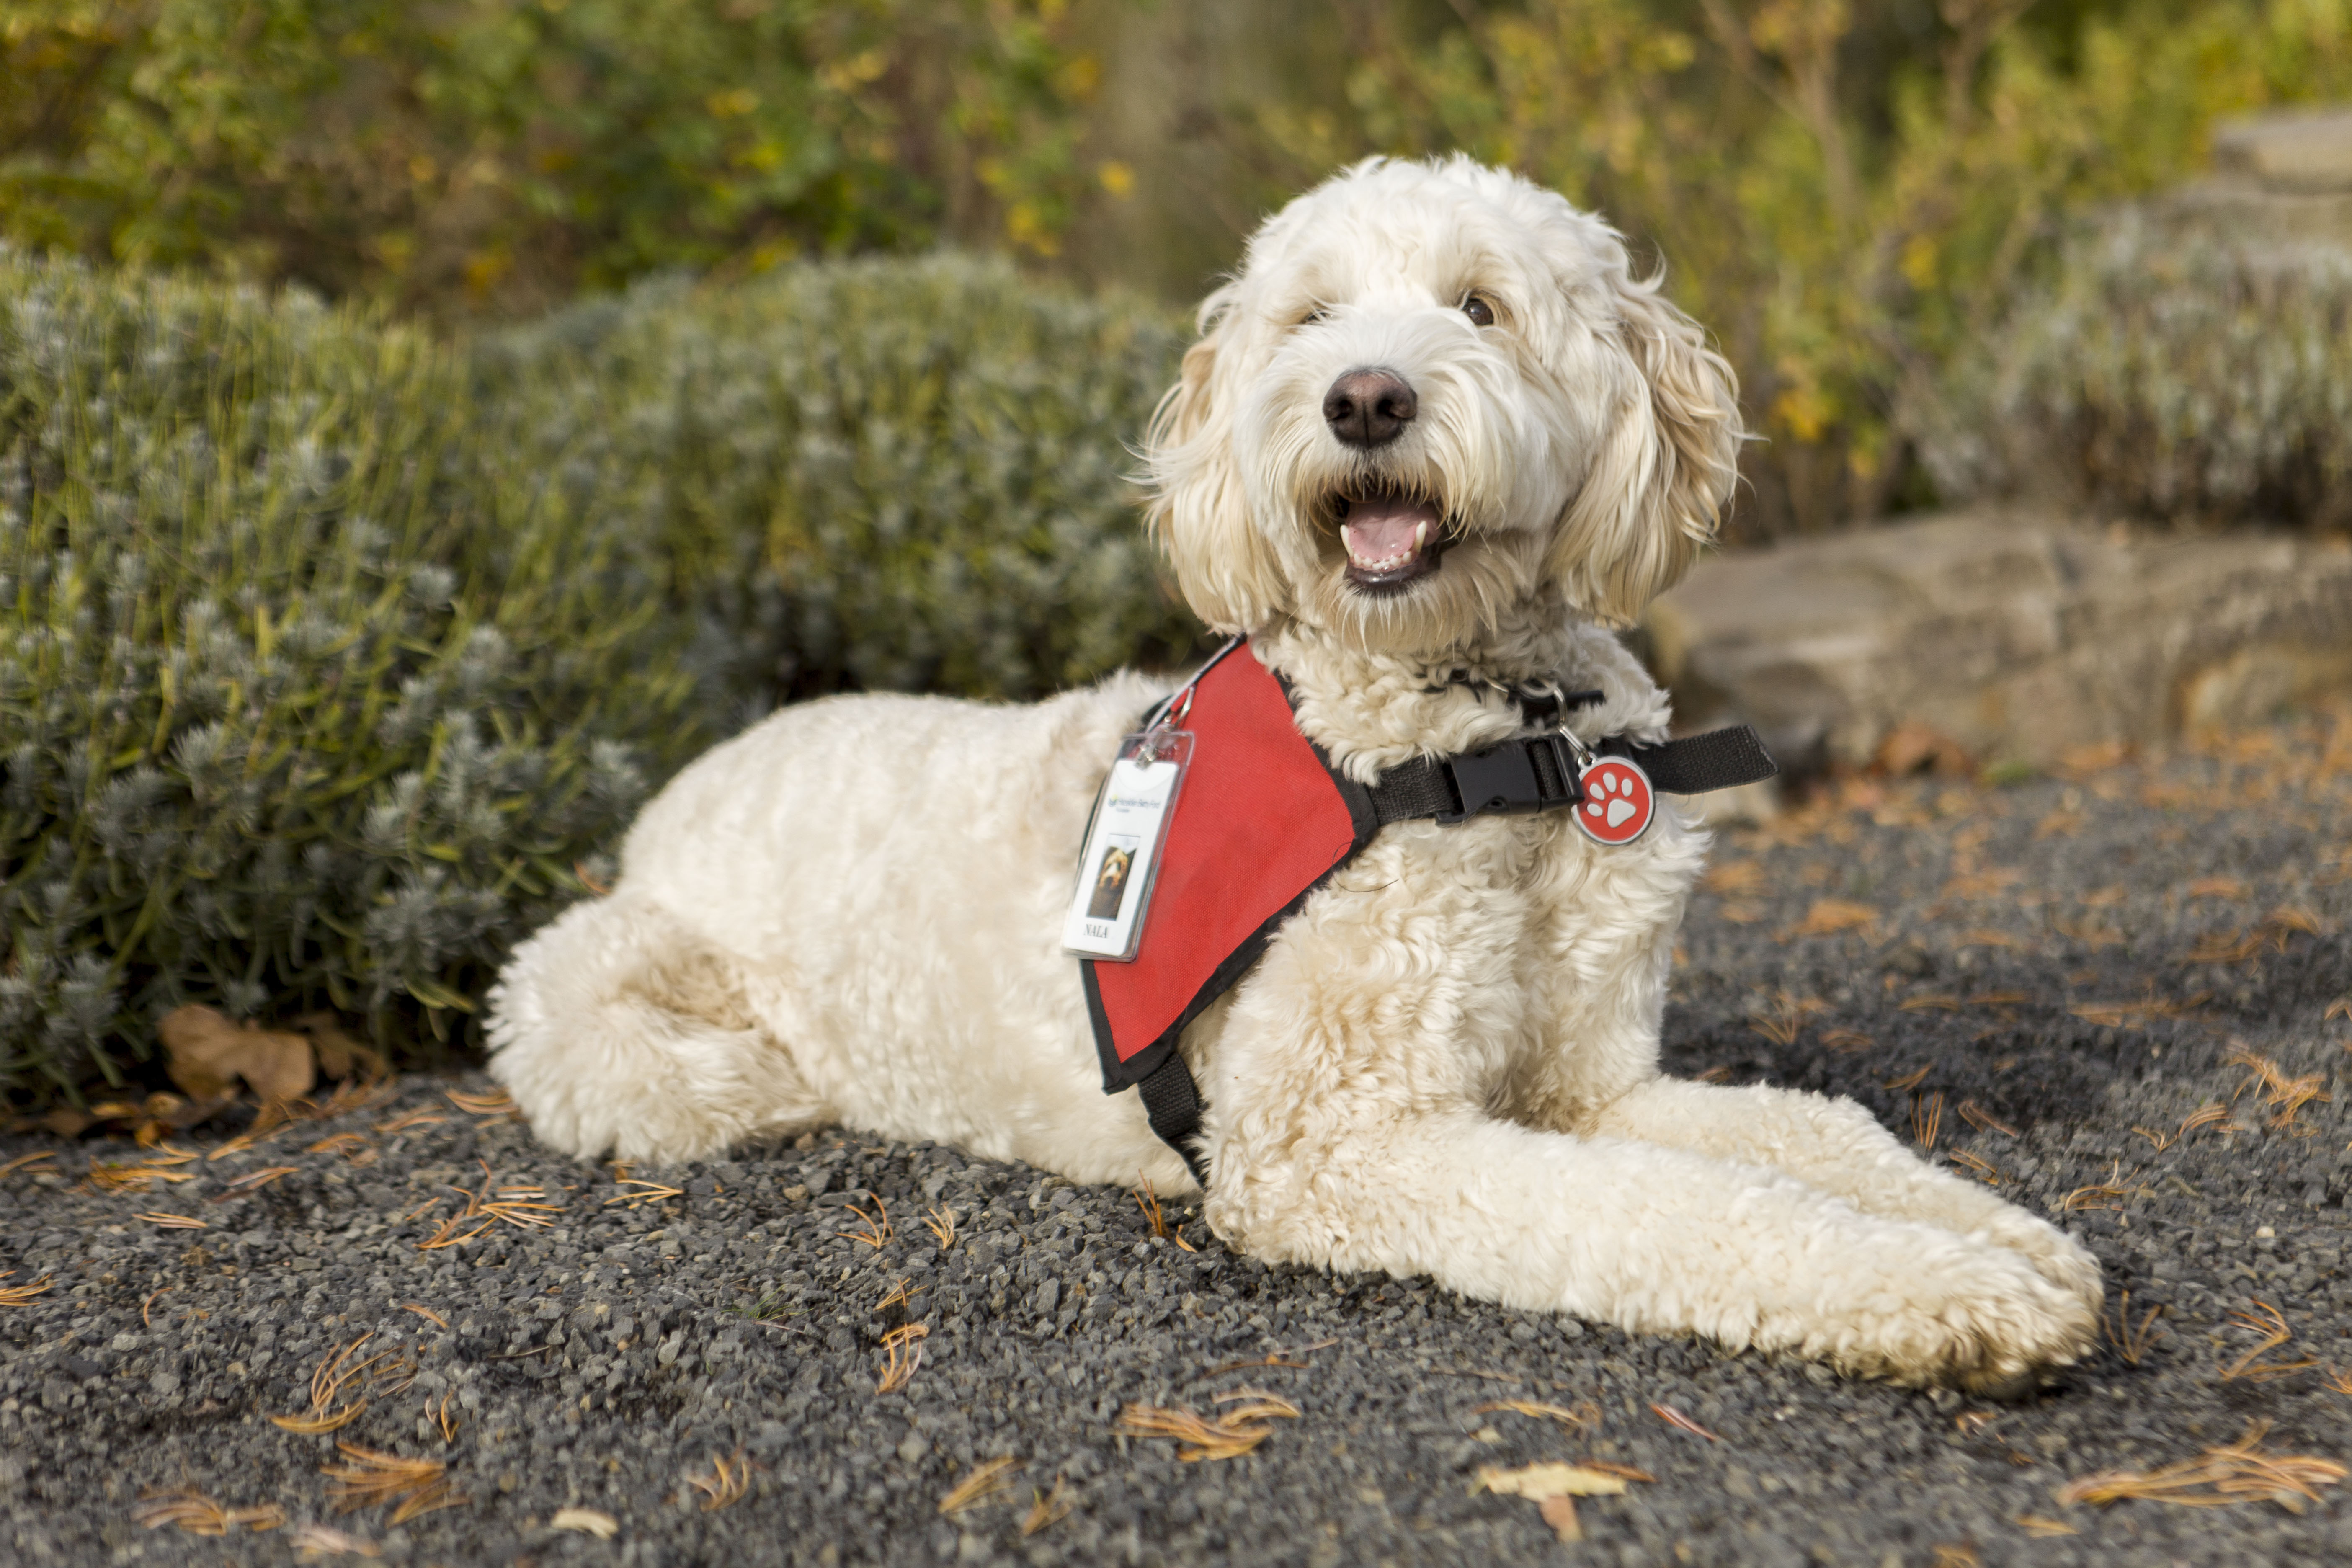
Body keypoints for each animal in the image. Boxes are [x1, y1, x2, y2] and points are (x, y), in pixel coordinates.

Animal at [487, 152, 2107, 1392]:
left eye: (1480, 304)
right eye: (1312, 315)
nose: (1366, 400)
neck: (1483, 746)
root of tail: (675, 795)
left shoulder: (1587, 1080)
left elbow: (1802, 1134)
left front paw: (1997, 1237)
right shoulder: (1331, 1143)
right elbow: (1683, 1211)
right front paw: (1944, 1292)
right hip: (601, 1019)